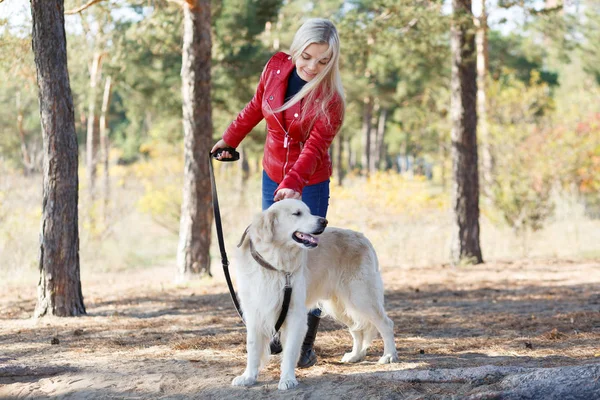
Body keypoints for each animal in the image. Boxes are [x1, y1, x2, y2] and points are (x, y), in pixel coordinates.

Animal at [232, 200, 396, 390]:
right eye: (297, 213)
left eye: (309, 211)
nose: (324, 221)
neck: (275, 264)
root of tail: (362, 237)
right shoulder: (254, 312)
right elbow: (252, 348)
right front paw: (248, 377)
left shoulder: (295, 314)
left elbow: (290, 351)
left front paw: (287, 379)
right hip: (342, 305)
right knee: (357, 329)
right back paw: (355, 355)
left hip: (361, 297)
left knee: (386, 324)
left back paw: (389, 355)